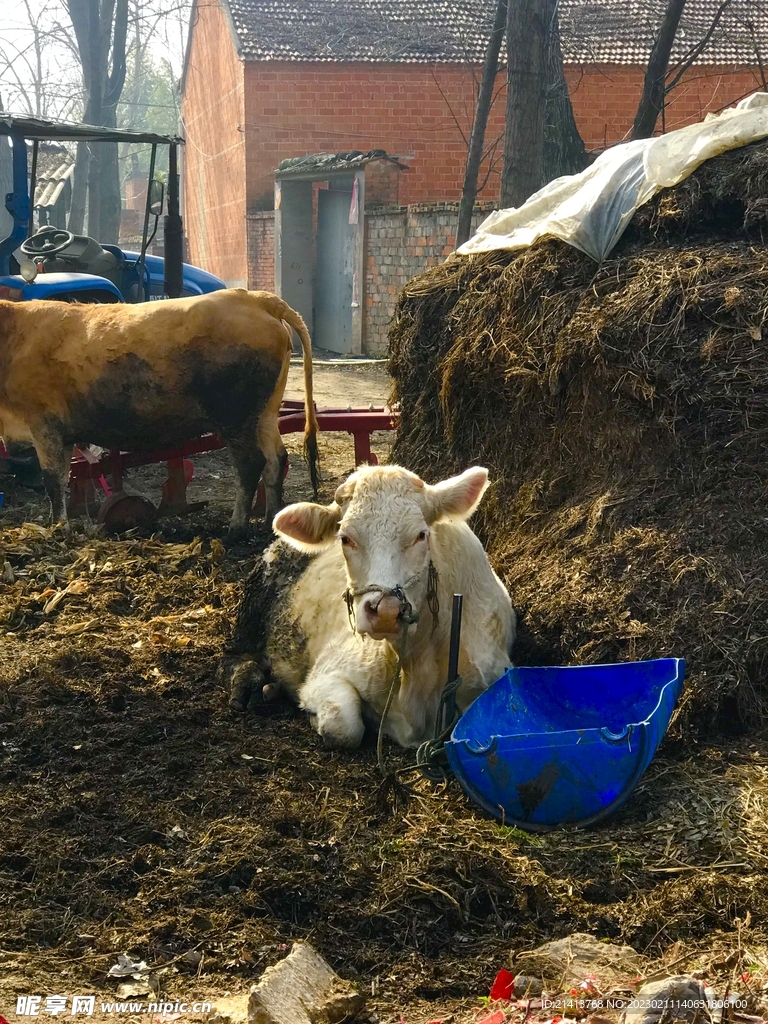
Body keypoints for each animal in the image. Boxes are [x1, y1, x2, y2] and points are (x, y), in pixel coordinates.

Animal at [0, 286, 319, 532]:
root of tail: (253, 297)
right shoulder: (61, 434)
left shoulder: (45, 425)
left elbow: (53, 482)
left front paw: (58, 529)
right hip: (264, 415)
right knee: (276, 461)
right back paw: (270, 522)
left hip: (236, 419)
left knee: (251, 464)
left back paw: (236, 528)